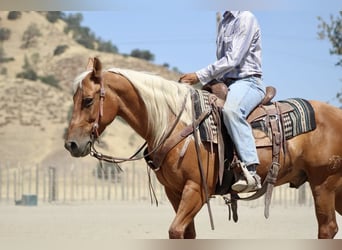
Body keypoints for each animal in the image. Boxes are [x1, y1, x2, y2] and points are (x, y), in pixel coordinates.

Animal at [65, 57, 342, 238]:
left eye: (88, 100)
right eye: (74, 99)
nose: (71, 144)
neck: (177, 124)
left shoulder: (196, 189)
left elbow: (175, 230)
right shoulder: (174, 192)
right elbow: (187, 234)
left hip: (323, 183)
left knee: (327, 228)